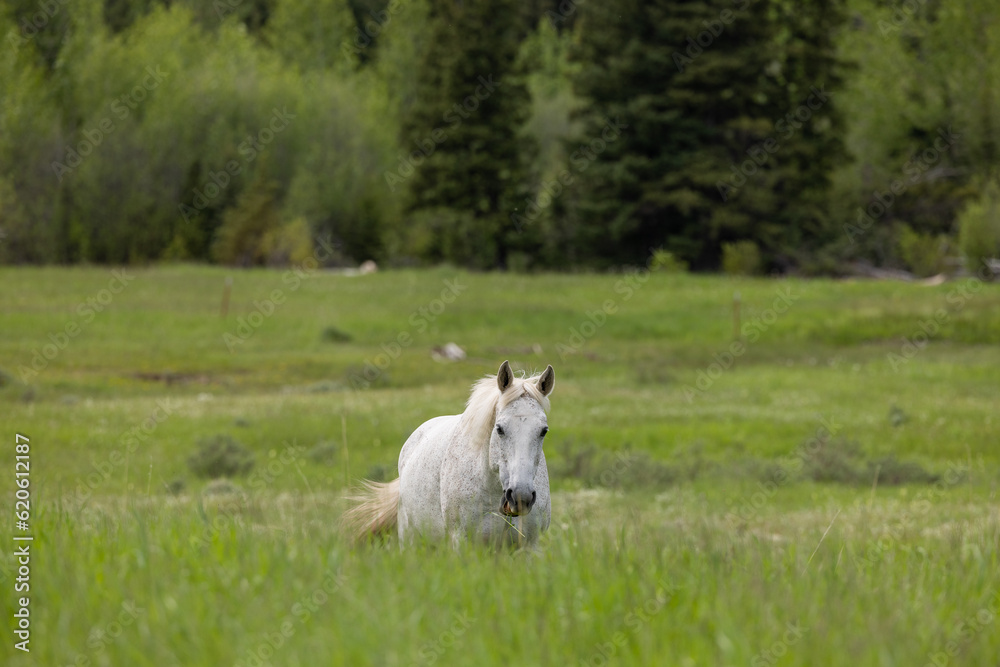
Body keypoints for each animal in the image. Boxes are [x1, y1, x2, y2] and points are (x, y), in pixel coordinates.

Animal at [344, 361, 555, 548]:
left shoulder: (528, 547)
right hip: (409, 537)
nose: (520, 497)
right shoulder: (462, 542)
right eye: (500, 429)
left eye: (543, 431)